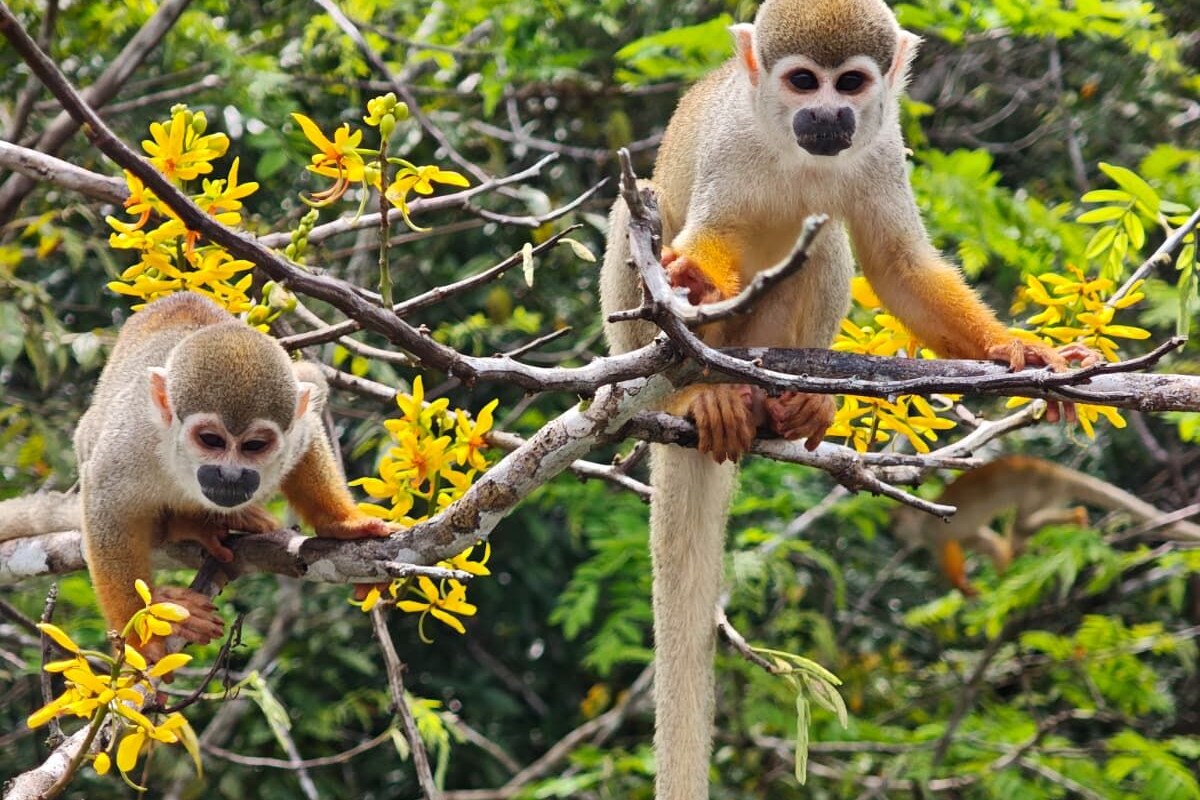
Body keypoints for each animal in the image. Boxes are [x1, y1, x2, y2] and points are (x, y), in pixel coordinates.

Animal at [0, 292, 395, 659]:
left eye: (254, 445)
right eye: (211, 440)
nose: (230, 475)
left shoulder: (294, 432)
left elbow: (310, 422)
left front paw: (342, 523)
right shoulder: (131, 442)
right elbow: (108, 508)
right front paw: (139, 633)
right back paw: (187, 528)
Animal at [599, 1, 1096, 796]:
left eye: (852, 84)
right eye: (803, 81)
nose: (830, 115)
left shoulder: (882, 145)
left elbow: (899, 267)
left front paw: (1018, 350)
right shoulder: (732, 142)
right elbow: (711, 237)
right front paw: (696, 278)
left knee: (826, 243)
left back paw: (781, 402)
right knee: (639, 213)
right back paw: (696, 398)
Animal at [894, 455, 1200, 596]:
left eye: (898, 528)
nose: (900, 539)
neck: (919, 520)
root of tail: (1053, 469)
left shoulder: (932, 532)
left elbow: (948, 550)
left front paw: (962, 586)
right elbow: (984, 542)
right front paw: (1002, 567)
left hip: (1037, 489)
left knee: (1023, 523)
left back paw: (1074, 518)